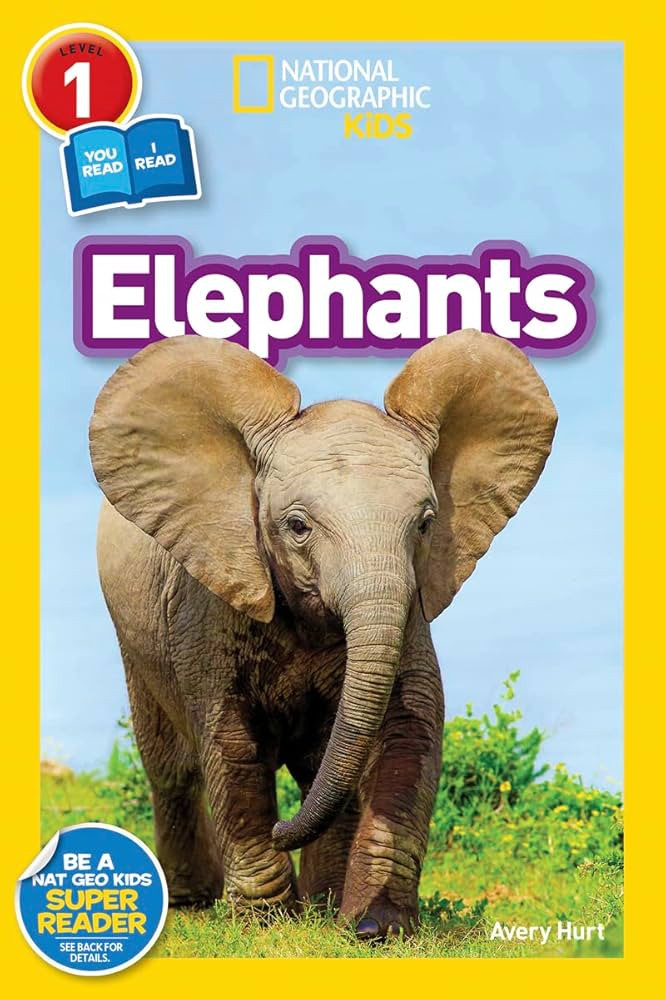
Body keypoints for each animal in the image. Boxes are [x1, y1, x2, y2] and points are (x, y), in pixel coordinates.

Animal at [89, 328, 557, 941]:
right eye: (297, 526)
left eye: (426, 524)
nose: (284, 827)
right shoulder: (206, 597)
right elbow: (231, 740)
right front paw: (264, 924)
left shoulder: (408, 608)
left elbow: (409, 727)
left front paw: (375, 928)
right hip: (134, 634)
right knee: (171, 763)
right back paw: (194, 901)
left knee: (319, 766)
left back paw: (322, 903)